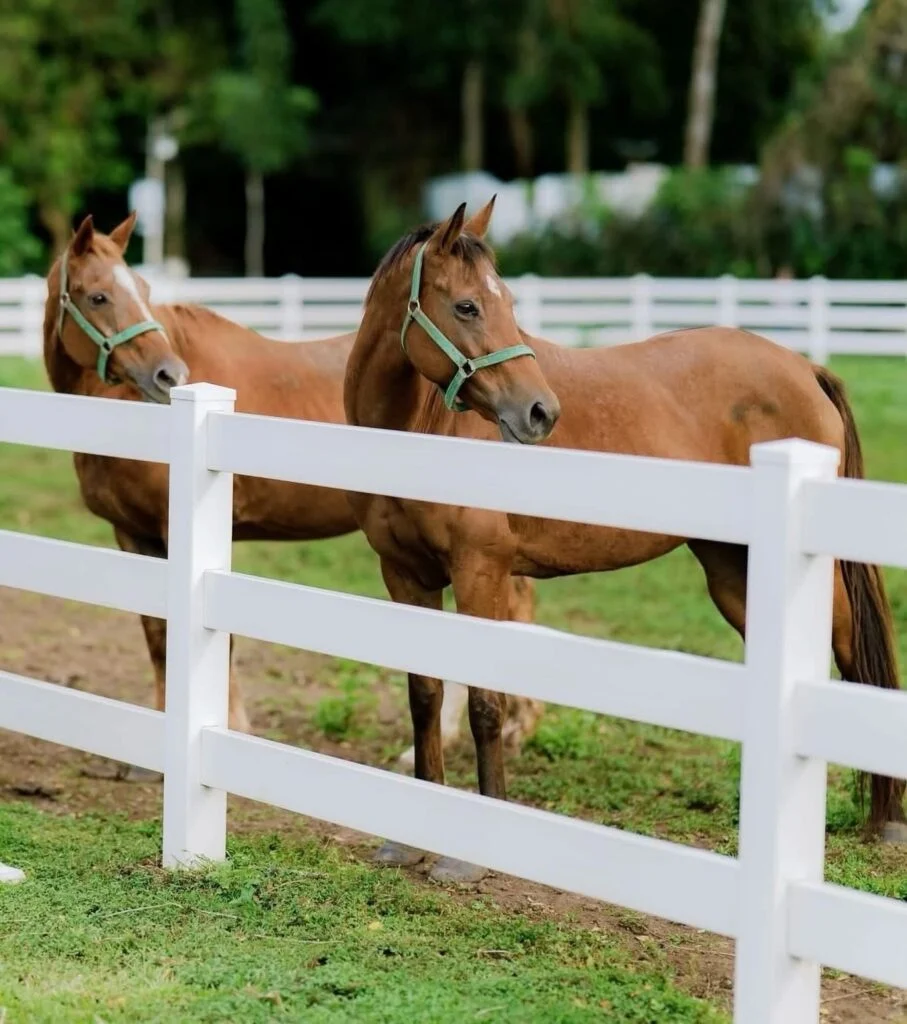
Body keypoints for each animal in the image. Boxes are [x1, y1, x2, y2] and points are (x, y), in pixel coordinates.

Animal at [41, 212, 541, 777]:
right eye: (99, 296)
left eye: (144, 291)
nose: (168, 374)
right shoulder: (133, 534)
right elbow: (155, 635)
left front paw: (232, 726)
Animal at [343, 197, 906, 883]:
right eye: (468, 306)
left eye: (506, 302)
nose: (540, 412)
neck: (422, 430)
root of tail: (804, 367)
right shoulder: (405, 574)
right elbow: (424, 695)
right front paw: (405, 840)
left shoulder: (482, 572)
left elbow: (483, 703)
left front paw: (468, 855)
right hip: (734, 572)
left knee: (851, 655)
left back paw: (886, 821)